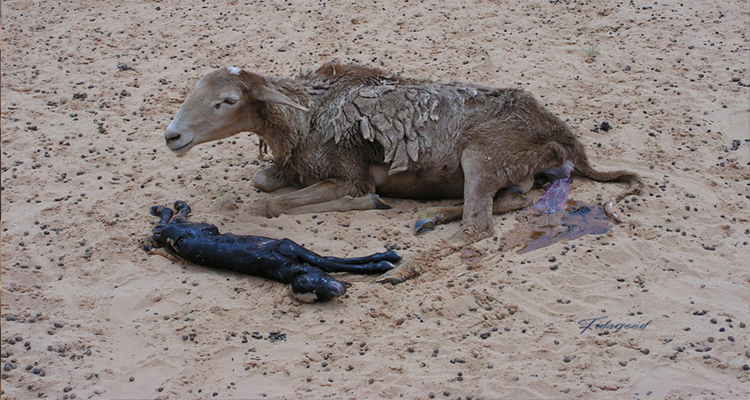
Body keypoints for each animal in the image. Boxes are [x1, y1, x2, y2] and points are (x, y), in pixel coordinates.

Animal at [163, 62, 642, 282]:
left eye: (227, 101)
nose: (172, 135)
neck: (306, 117)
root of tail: (559, 134)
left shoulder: (347, 172)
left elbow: (272, 204)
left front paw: (370, 200)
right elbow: (263, 182)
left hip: (482, 154)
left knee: (478, 227)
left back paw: (403, 266)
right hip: (509, 170)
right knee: (512, 199)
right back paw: (431, 217)